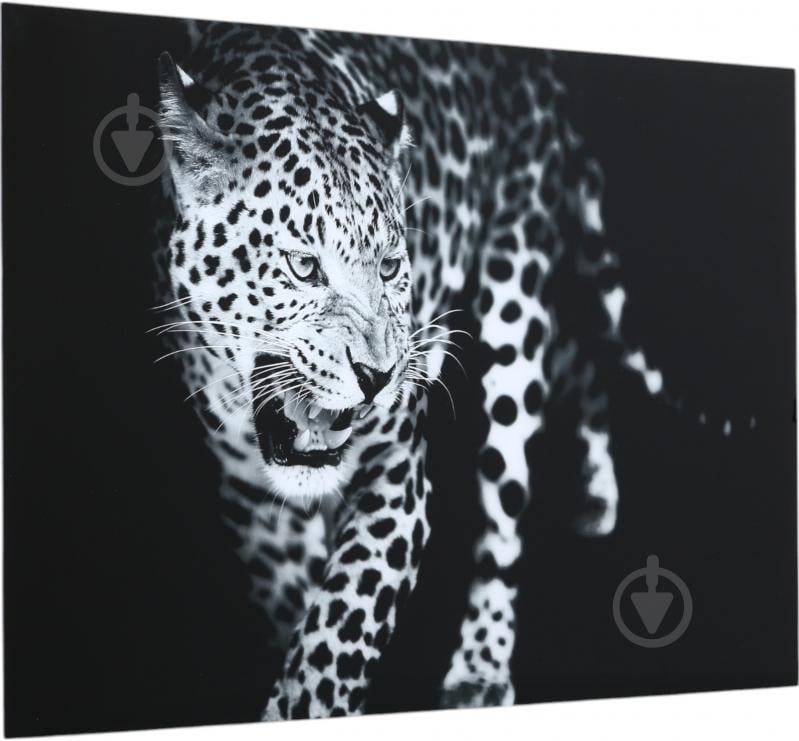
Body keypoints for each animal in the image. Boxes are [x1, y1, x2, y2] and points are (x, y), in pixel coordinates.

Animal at [152, 19, 680, 720]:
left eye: (390, 266)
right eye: (302, 266)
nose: (378, 376)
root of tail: (541, 70)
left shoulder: (398, 472)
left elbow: (335, 634)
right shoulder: (250, 499)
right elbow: (296, 613)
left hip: (514, 303)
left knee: (506, 505)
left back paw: (481, 666)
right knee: (579, 360)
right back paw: (596, 488)